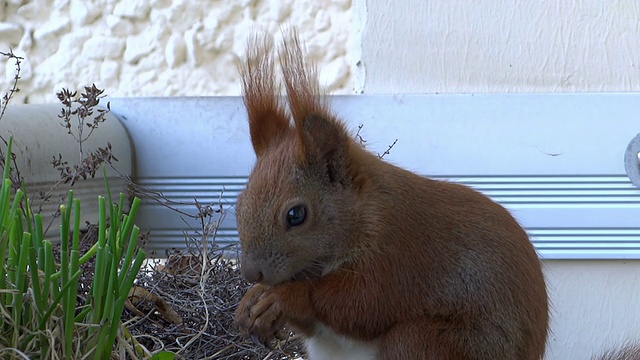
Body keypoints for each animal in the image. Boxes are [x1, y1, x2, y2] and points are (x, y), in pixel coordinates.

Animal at [232, 32, 552, 358]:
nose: (251, 273)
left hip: (425, 342)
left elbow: (361, 305)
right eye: (239, 204)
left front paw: (285, 296)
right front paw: (253, 300)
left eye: (296, 215)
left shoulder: (397, 253)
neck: (364, 212)